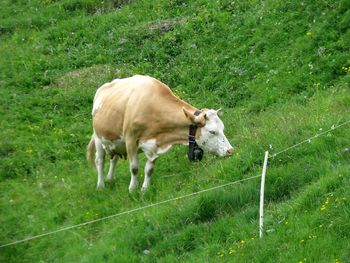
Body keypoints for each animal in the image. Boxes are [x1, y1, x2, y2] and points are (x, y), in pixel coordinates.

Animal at [86, 75, 234, 193]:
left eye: (222, 128)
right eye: (212, 131)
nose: (230, 151)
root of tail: (103, 88)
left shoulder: (154, 145)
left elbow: (149, 169)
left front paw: (144, 189)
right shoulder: (130, 140)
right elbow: (134, 168)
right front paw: (132, 189)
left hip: (115, 142)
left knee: (114, 158)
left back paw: (110, 178)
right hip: (99, 138)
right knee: (100, 161)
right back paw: (101, 185)